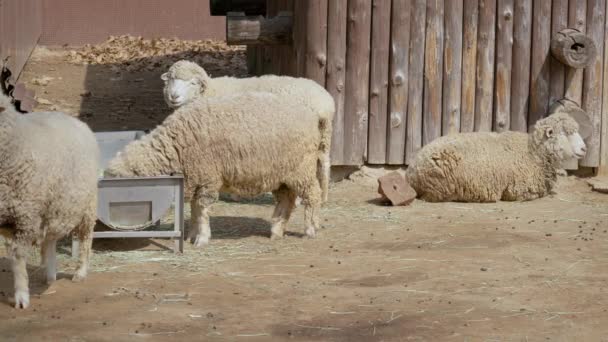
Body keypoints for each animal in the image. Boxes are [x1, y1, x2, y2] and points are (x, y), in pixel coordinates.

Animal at [0, 92, 98, 308]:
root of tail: (75, 119)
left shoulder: (25, 217)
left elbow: (18, 258)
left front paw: (21, 296)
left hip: (87, 205)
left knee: (86, 238)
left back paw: (80, 272)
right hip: (55, 206)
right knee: (51, 239)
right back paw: (50, 275)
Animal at [104, 91, 324, 246]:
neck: (175, 147)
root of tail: (310, 114)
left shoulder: (207, 178)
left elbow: (201, 209)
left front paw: (202, 238)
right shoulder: (195, 179)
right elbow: (194, 209)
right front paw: (191, 235)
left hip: (301, 169)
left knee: (313, 195)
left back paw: (310, 229)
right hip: (281, 174)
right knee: (286, 200)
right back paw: (276, 231)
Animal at [159, 59, 334, 204]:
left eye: (192, 83)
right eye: (171, 79)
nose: (174, 96)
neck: (211, 91)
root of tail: (325, 102)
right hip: (323, 135)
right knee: (325, 163)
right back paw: (324, 197)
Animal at [406, 112, 588, 203]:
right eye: (566, 133)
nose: (584, 148)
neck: (533, 153)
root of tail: (412, 171)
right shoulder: (518, 191)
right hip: (441, 186)